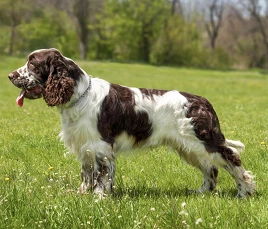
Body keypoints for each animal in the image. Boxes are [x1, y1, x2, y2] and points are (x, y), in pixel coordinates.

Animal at [7, 47, 255, 197]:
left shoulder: (101, 146)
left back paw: (245, 191)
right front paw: (82, 194)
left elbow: (102, 175)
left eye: (32, 64)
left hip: (203, 141)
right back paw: (202, 192)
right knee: (210, 168)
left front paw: (99, 198)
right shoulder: (85, 146)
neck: (80, 95)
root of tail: (203, 101)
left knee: (232, 157)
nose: (10, 76)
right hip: (188, 147)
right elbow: (87, 174)